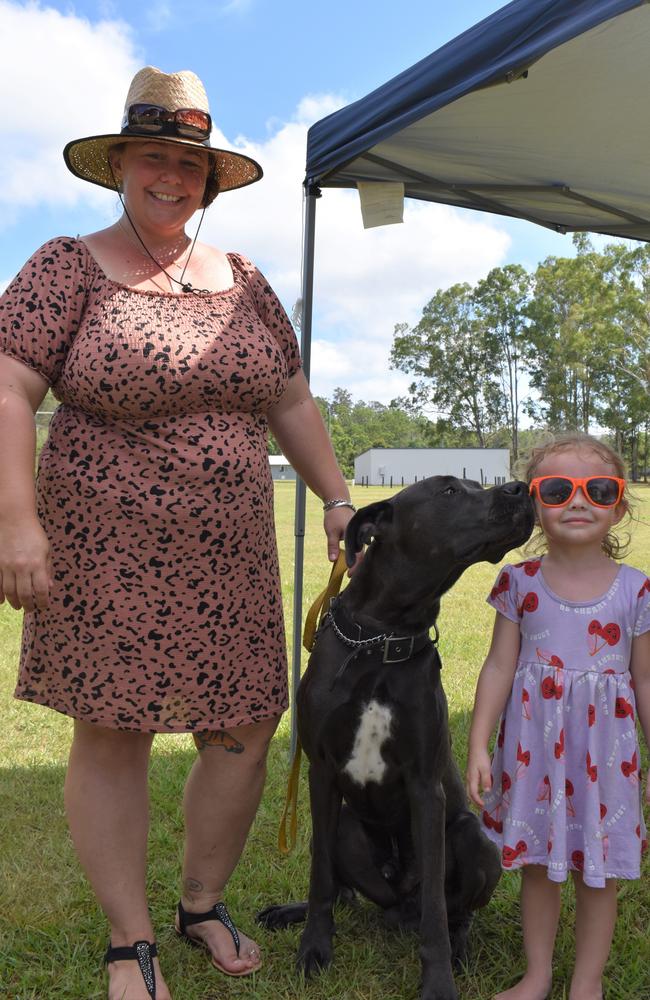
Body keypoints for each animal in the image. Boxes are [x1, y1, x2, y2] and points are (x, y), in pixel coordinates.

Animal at [258, 476, 532, 1000]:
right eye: (448, 491)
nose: (522, 488)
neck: (382, 639)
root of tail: (395, 909)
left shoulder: (426, 785)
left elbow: (437, 914)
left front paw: (439, 982)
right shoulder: (321, 771)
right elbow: (320, 880)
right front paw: (314, 948)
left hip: (474, 839)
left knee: (453, 911)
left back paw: (459, 948)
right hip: (343, 826)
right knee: (342, 890)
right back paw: (290, 912)